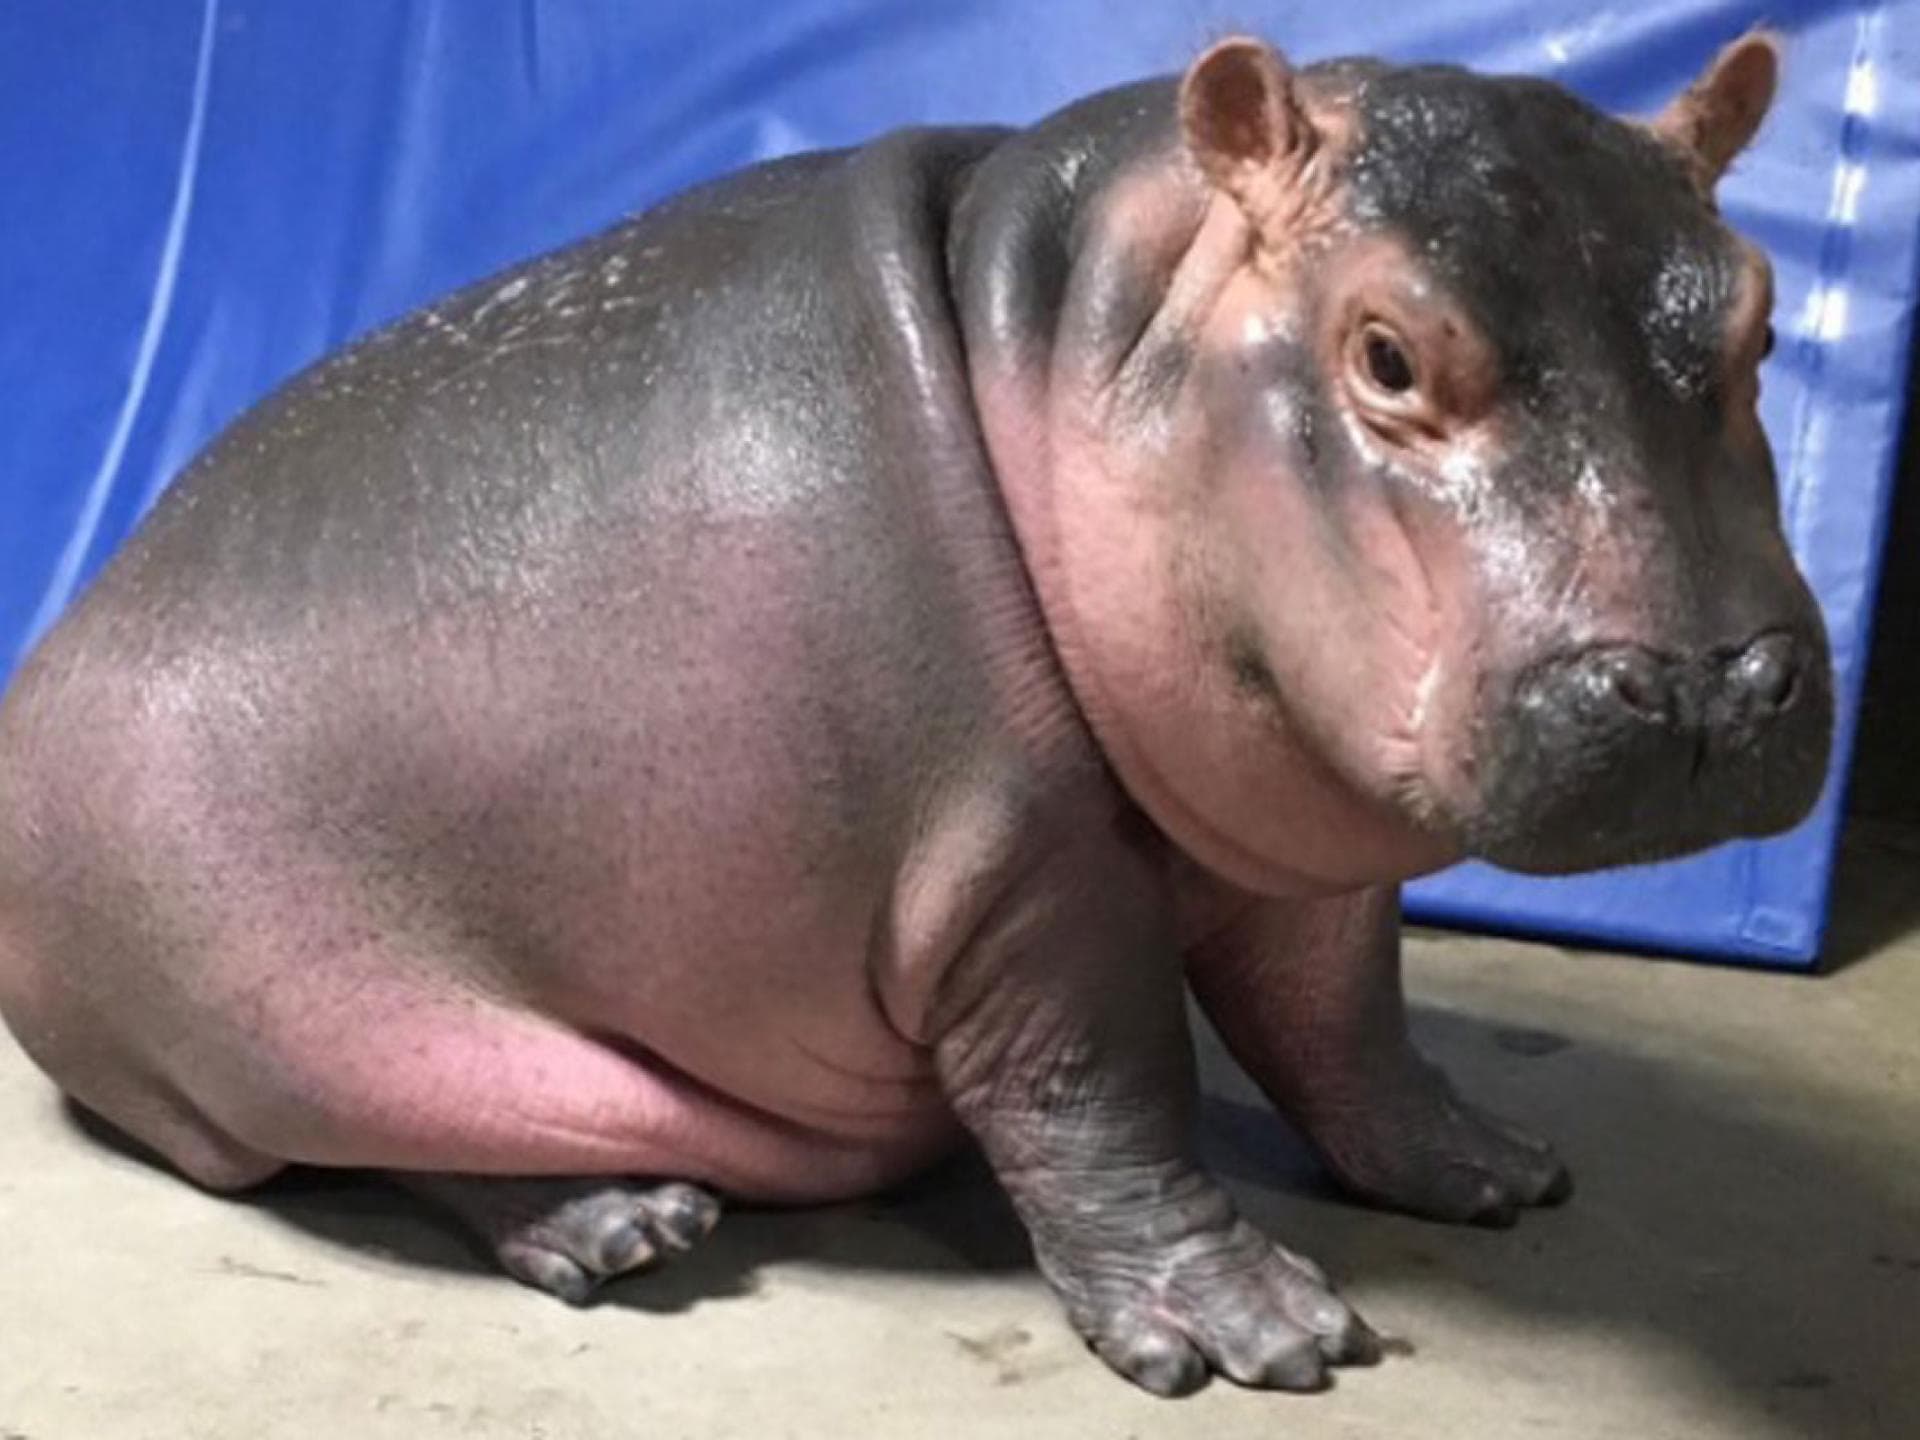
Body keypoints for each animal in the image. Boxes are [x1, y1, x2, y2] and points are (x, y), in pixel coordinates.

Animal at [0, 30, 1830, 1396]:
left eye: (1758, 316)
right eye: (1383, 350)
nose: (1704, 688)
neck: (1090, 327)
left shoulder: (1297, 846)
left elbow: (1344, 1023)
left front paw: (1491, 1170)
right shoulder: (1021, 874)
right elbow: (1099, 1083)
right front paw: (1255, 1333)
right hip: (276, 1028)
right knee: (368, 1139)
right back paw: (615, 1227)